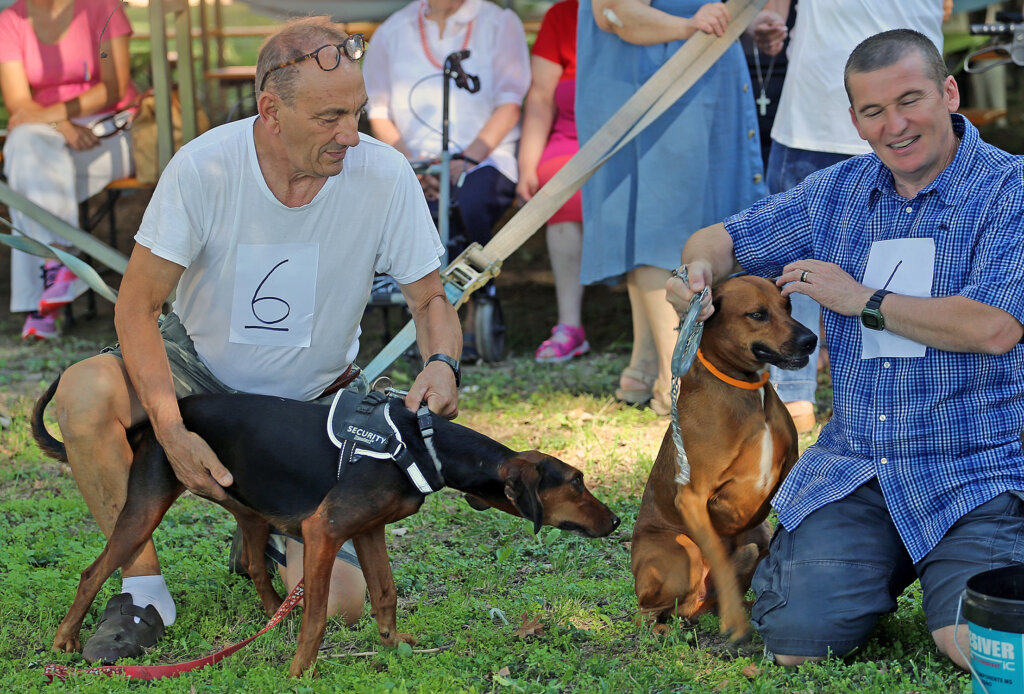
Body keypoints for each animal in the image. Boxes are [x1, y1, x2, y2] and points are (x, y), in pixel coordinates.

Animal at [33, 381, 620, 676]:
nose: (616, 520)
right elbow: (317, 616)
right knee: (92, 572)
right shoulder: (324, 531)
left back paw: (274, 616)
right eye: (576, 481)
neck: (425, 443)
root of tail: (154, 420)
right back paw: (65, 640)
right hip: (145, 508)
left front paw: (393, 645)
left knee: (254, 563)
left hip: (249, 507)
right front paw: (300, 673)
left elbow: (385, 593)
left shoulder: (368, 531)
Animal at [630, 275, 817, 643]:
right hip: (680, 550)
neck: (746, 388)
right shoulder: (692, 498)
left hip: (757, 534)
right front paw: (734, 623)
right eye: (757, 314)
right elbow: (718, 558)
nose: (811, 340)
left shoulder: (786, 477)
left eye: (787, 306)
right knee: (654, 610)